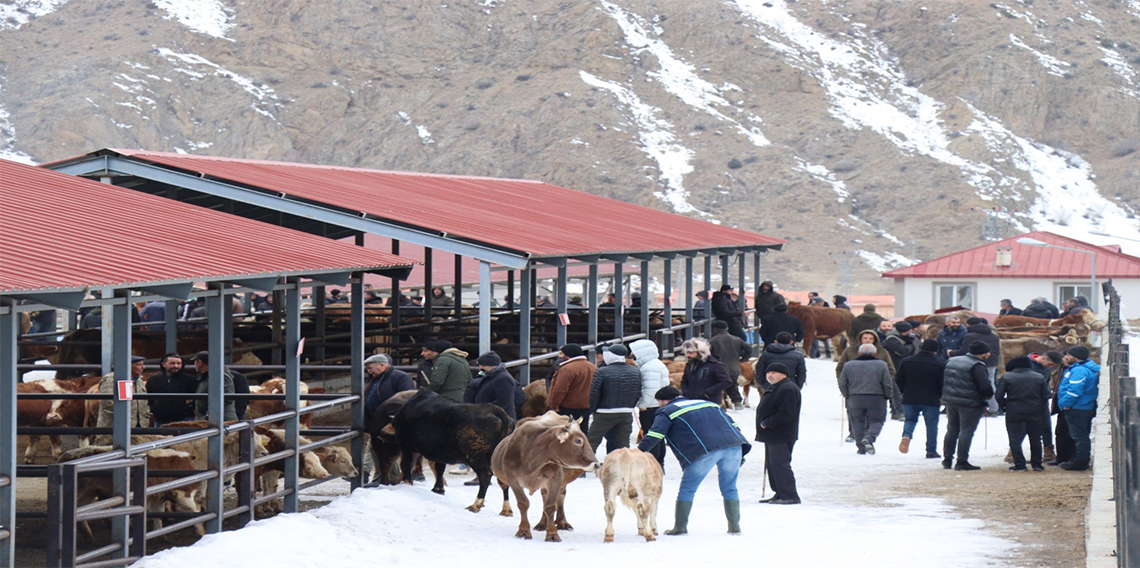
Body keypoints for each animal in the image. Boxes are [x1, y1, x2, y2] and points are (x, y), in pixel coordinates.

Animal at [490, 410, 597, 538]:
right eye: (578, 441)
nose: (597, 464)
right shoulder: (512, 479)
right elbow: (523, 503)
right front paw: (523, 530)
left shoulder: (555, 479)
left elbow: (550, 506)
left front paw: (552, 534)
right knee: (544, 496)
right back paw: (542, 523)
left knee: (560, 496)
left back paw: (562, 522)